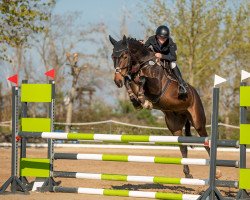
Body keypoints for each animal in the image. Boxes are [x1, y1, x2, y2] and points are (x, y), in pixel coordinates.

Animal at [108, 34, 210, 178]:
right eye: (113, 56)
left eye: (124, 56)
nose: (117, 81)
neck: (143, 64)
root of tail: (195, 93)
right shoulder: (132, 81)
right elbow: (129, 81)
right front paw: (137, 102)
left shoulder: (156, 88)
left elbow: (143, 80)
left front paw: (143, 100)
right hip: (174, 125)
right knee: (182, 146)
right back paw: (187, 173)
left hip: (198, 121)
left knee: (206, 143)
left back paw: (217, 173)